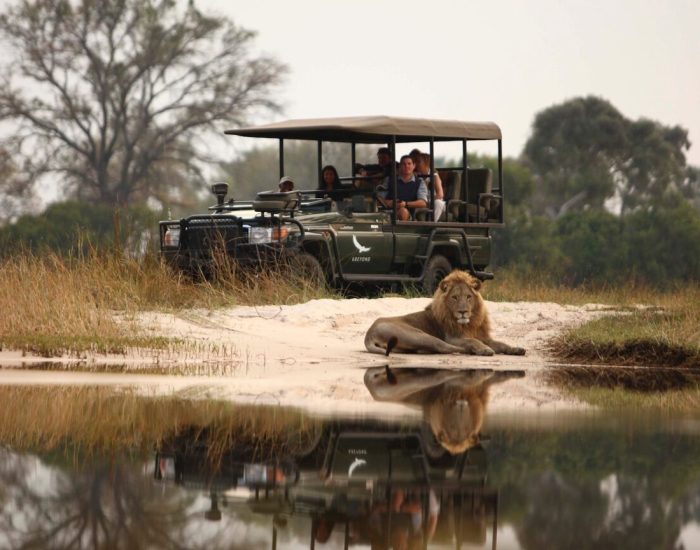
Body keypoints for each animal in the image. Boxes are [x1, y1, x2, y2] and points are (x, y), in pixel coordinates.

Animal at [364, 270, 526, 356]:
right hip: (419, 335)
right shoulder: (453, 337)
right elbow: (473, 341)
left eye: (468, 297)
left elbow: (501, 343)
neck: (469, 324)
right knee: (444, 347)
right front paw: (484, 349)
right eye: (454, 297)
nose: (463, 312)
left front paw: (516, 349)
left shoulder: (483, 336)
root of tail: (369, 333)